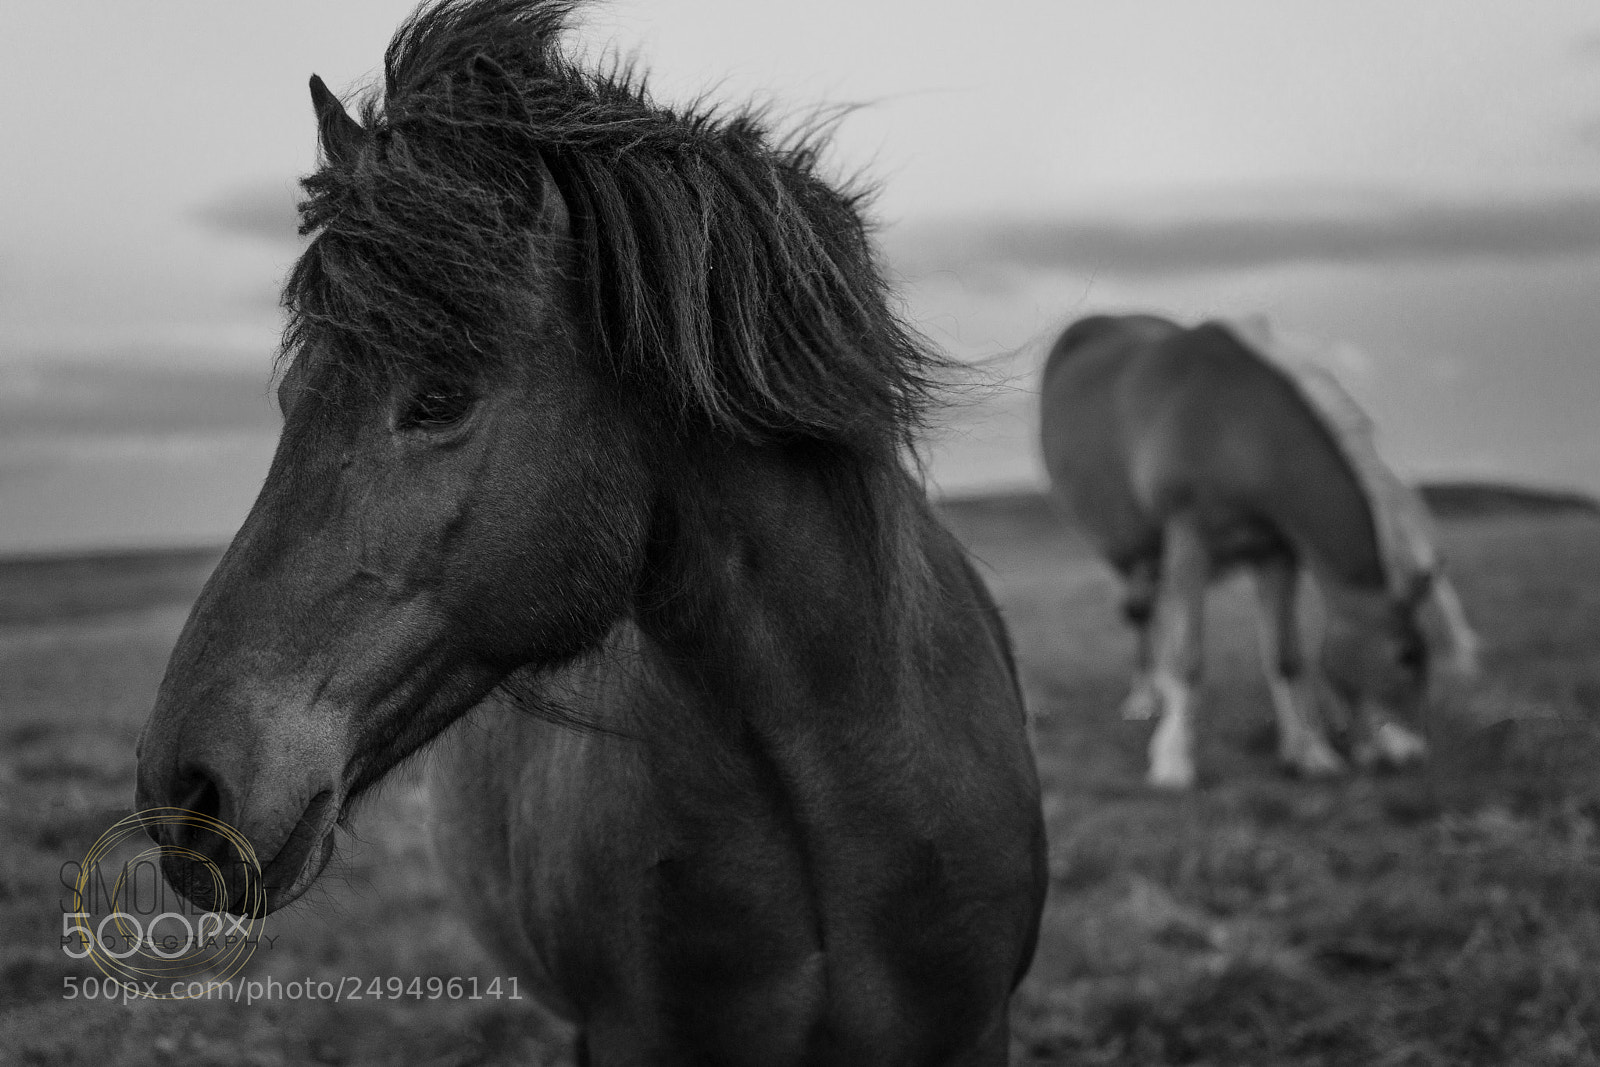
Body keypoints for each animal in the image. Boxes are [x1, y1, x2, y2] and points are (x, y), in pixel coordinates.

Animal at [1039, 313, 1480, 790]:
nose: (1413, 756)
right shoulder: (1189, 538)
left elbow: (1286, 657)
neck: (1237, 433)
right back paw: (1145, 697)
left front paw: (1309, 752)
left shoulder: (1276, 553)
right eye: (1407, 656)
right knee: (1142, 614)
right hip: (1128, 549)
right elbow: (1188, 658)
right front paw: (1173, 760)